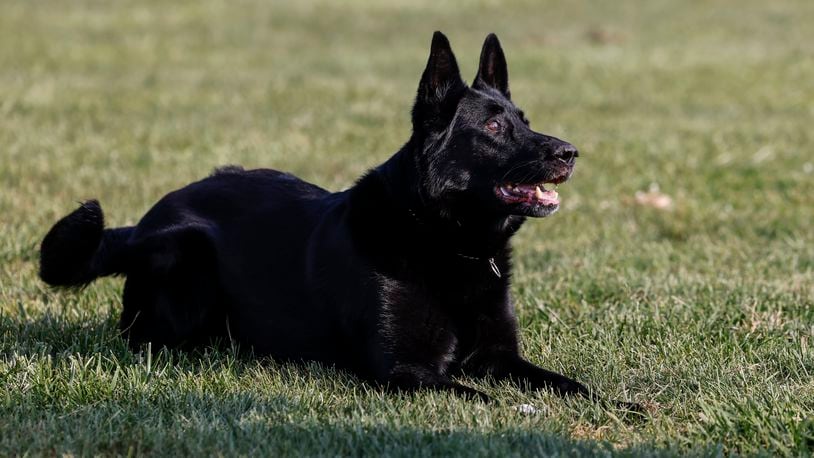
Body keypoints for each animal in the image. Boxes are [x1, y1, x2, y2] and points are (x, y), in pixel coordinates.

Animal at [39, 30, 632, 406]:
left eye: (525, 121)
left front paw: (619, 407)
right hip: (189, 255)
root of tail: (142, 224)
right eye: (492, 127)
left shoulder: (499, 357)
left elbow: (572, 387)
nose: (570, 152)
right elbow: (493, 398)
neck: (443, 240)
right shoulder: (405, 371)